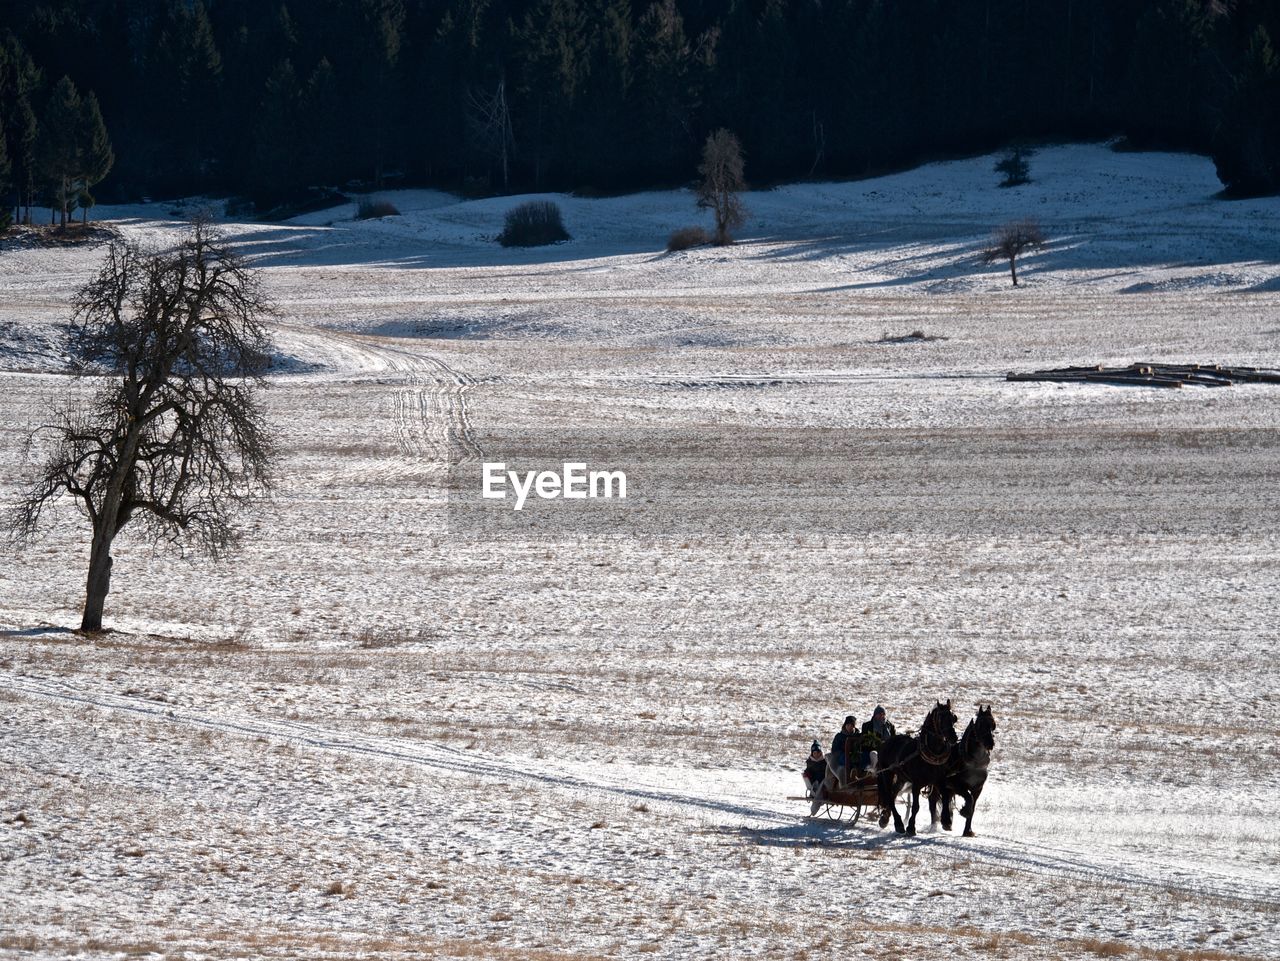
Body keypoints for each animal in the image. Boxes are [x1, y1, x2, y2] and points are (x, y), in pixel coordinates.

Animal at [875, 701, 957, 834]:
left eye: (953, 718)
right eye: (940, 718)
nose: (953, 737)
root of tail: (886, 742)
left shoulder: (939, 781)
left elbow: (945, 797)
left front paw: (946, 821)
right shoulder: (917, 784)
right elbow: (915, 807)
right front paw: (911, 827)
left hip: (901, 778)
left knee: (893, 793)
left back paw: (885, 818)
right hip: (887, 774)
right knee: (889, 796)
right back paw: (898, 824)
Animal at [931, 701, 998, 839]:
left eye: (993, 724)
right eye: (980, 724)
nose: (990, 743)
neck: (974, 763)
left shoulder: (978, 789)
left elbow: (973, 806)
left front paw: (968, 831)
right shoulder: (958, 785)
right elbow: (968, 799)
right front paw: (964, 812)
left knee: (945, 797)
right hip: (939, 783)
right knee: (935, 800)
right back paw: (940, 823)